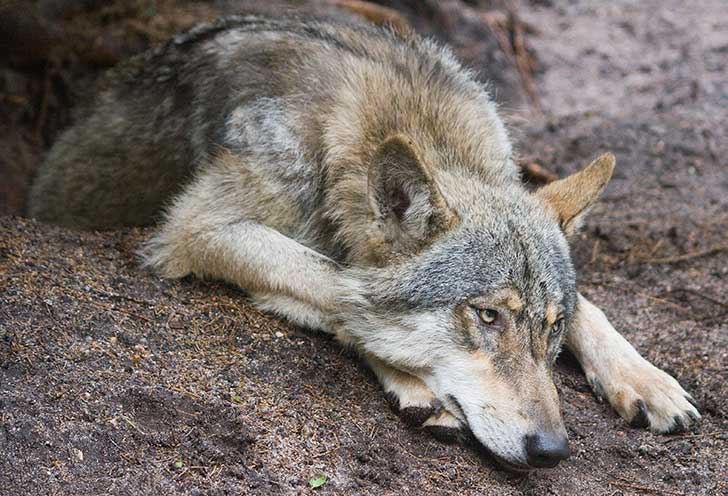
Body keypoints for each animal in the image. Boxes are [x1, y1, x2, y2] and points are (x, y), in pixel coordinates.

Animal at [28, 15, 700, 470]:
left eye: (550, 327)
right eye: (486, 317)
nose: (553, 449)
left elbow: (594, 306)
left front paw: (646, 380)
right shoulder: (197, 228)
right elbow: (337, 285)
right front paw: (411, 377)